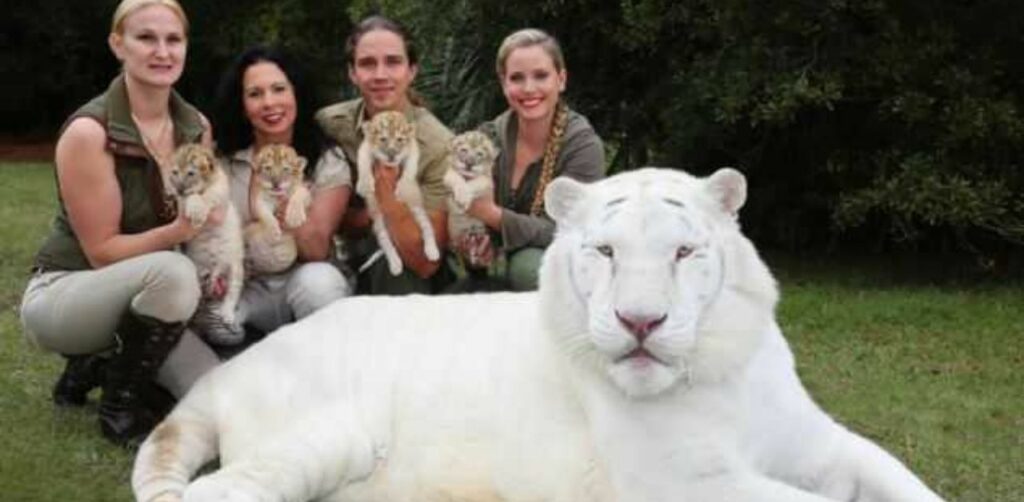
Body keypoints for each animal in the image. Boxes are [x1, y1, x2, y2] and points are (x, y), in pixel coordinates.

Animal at [130, 168, 942, 501]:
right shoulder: (682, 483)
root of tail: (223, 375)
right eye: (606, 251)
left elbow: (901, 480)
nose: (640, 322)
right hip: (326, 435)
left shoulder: (819, 444)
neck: (719, 372)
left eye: (683, 252)